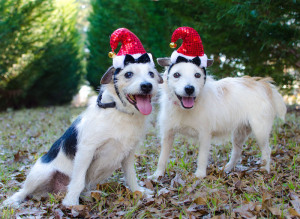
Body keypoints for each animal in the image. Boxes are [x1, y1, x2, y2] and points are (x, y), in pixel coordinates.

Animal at [3, 52, 163, 206]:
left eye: (151, 74)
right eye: (128, 74)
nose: (147, 86)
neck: (119, 111)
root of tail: (54, 191)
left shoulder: (128, 154)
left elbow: (131, 176)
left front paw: (138, 192)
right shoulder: (86, 151)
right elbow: (78, 180)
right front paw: (70, 202)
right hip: (41, 174)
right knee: (24, 190)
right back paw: (13, 200)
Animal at [149, 56, 286, 180]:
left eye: (197, 75)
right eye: (176, 74)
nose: (189, 89)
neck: (186, 108)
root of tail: (261, 84)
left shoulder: (204, 135)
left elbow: (202, 157)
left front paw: (199, 175)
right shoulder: (168, 134)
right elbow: (162, 158)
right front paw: (157, 175)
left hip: (260, 132)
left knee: (267, 150)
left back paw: (265, 170)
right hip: (239, 133)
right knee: (237, 151)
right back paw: (227, 168)